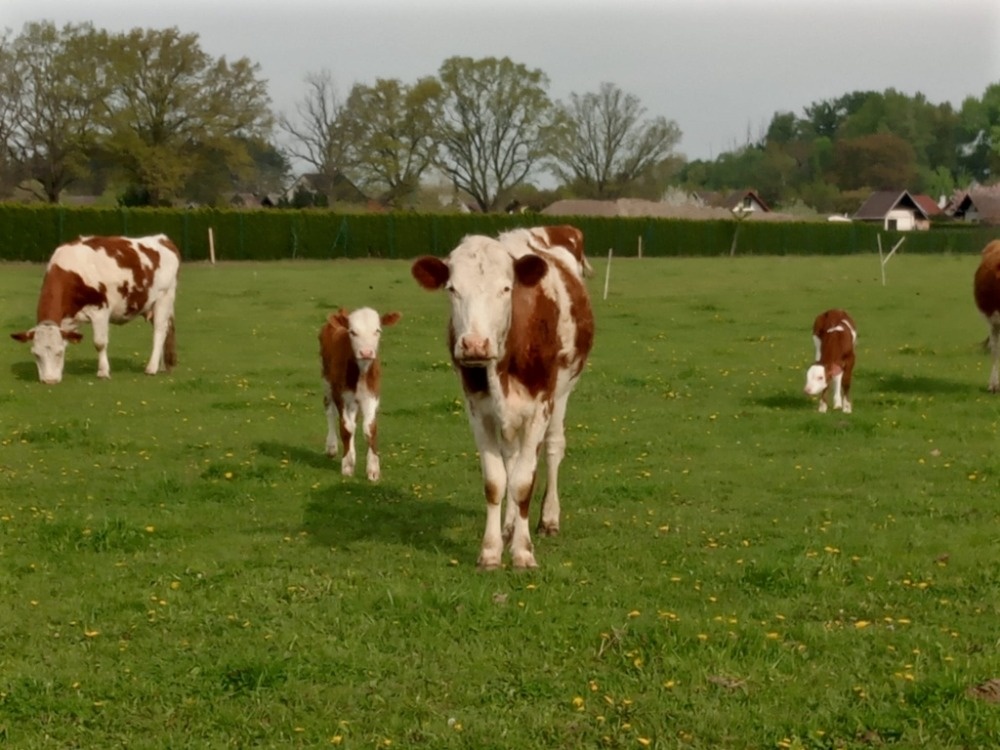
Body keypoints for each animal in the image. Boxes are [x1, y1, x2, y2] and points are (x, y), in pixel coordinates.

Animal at [10, 236, 180, 388]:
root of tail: (162, 239)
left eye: (59, 353)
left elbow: (99, 343)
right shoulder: (67, 320)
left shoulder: (100, 310)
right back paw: (163, 366)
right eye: (36, 354)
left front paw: (103, 372)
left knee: (159, 331)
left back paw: (152, 368)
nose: (49, 381)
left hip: (164, 298)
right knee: (166, 331)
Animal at [318, 306, 400, 482]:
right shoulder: (341, 396)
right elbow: (346, 428)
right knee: (330, 410)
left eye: (377, 330)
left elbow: (369, 428)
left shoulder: (372, 396)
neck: (361, 371)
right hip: (327, 380)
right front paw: (347, 465)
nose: (366, 352)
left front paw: (373, 470)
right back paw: (331, 447)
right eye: (352, 332)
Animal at [412, 229, 592, 568]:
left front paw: (523, 552)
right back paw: (509, 527)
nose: (474, 345)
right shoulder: (477, 410)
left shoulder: (540, 406)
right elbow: (497, 481)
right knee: (513, 458)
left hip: (562, 393)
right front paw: (491, 551)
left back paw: (548, 519)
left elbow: (523, 482)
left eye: (506, 288)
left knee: (552, 449)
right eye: (452, 289)